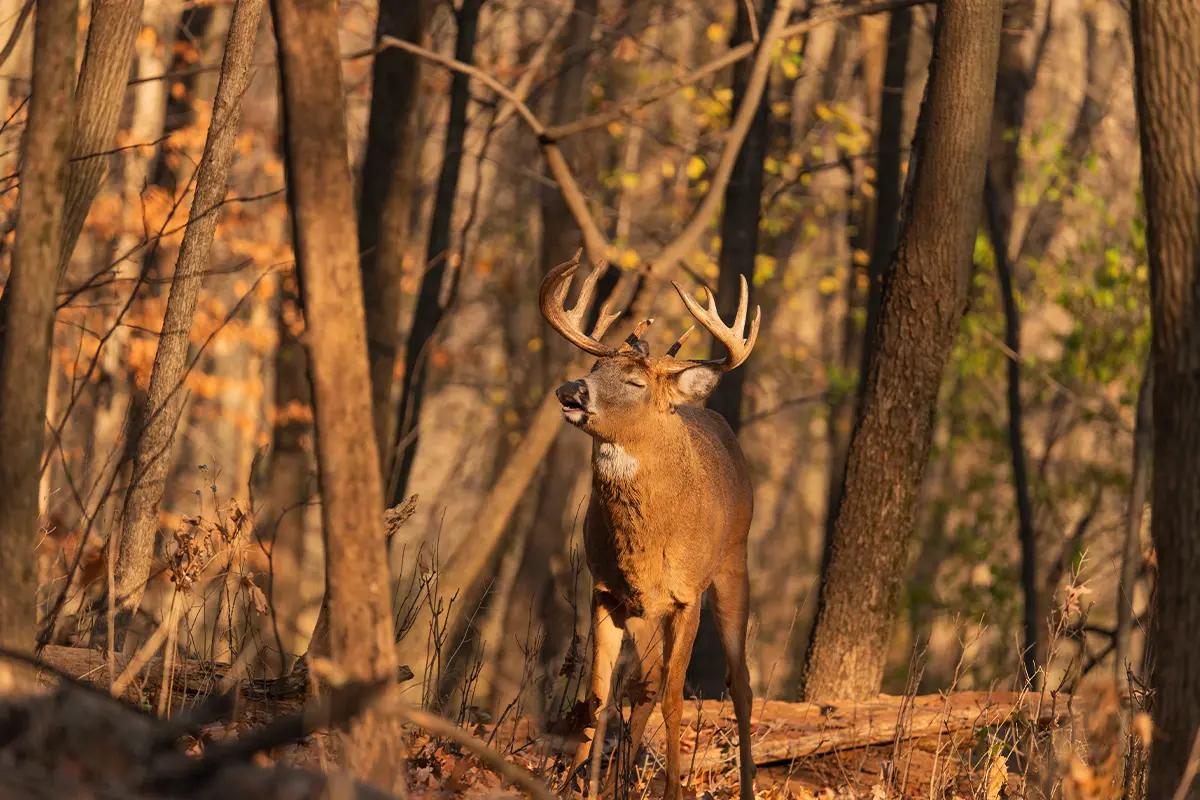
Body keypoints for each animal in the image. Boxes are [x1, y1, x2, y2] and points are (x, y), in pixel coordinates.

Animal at [540, 252, 760, 800]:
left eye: (636, 384)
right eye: (594, 366)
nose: (570, 390)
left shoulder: (686, 594)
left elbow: (675, 698)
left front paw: (673, 790)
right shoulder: (604, 589)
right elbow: (598, 696)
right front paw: (576, 784)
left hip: (734, 562)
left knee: (740, 683)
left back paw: (748, 784)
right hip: (645, 614)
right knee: (642, 685)